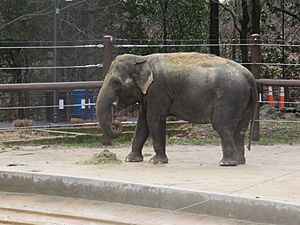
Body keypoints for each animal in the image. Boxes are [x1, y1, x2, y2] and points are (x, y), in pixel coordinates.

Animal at [96, 52, 258, 165]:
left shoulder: (158, 90)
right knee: (240, 129)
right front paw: (131, 160)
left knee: (222, 126)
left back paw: (226, 163)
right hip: (243, 100)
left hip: (229, 97)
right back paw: (239, 161)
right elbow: (142, 123)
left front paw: (157, 161)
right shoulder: (149, 95)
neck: (142, 58)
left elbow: (153, 120)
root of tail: (249, 76)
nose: (117, 122)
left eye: (116, 83)